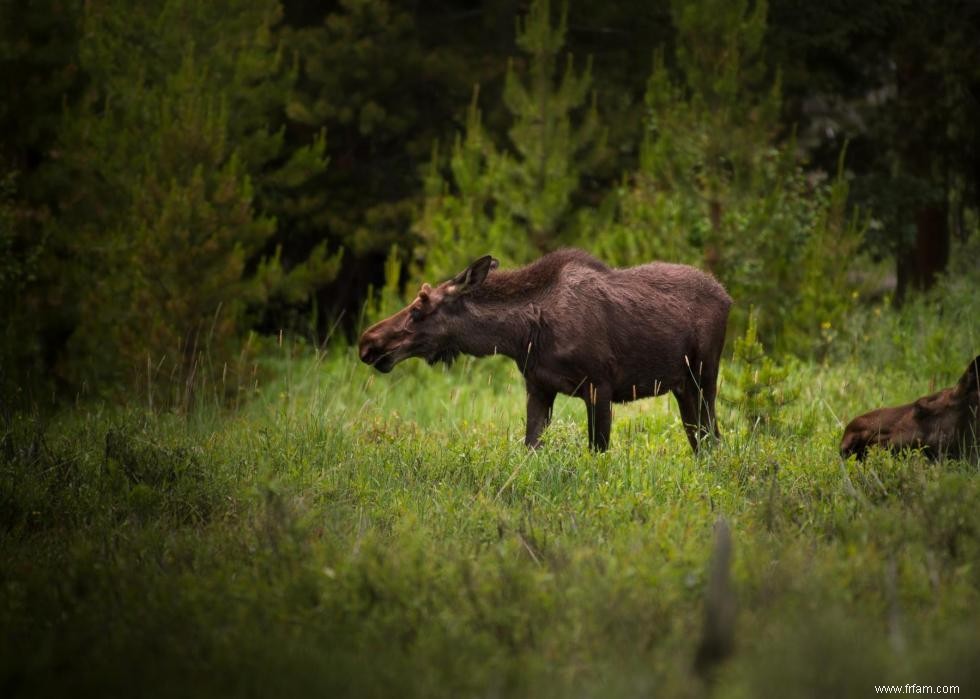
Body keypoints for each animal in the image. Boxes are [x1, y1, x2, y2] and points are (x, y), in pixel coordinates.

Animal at [356, 249, 732, 452]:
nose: (368, 343)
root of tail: (728, 297)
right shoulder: (538, 387)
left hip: (705, 376)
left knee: (713, 437)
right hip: (682, 386)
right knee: (700, 440)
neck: (522, 336)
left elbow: (597, 451)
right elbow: (530, 447)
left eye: (419, 308)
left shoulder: (600, 386)